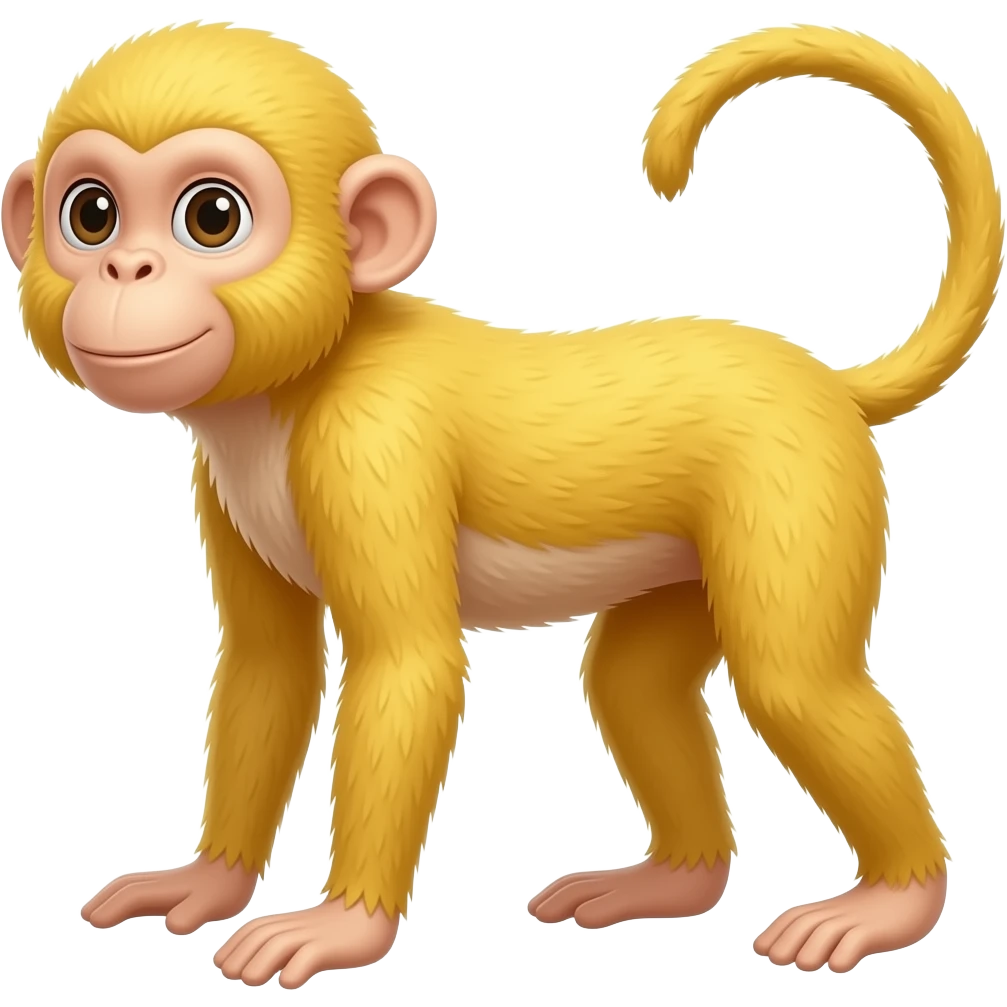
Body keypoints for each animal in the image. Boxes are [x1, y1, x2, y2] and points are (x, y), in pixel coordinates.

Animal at [3, 19, 1001, 987]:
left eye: (211, 217)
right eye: (90, 214)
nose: (126, 269)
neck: (299, 381)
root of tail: (823, 380)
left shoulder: (373, 444)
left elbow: (409, 665)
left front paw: (339, 926)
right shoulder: (218, 478)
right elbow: (266, 666)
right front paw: (208, 879)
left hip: (795, 484)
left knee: (793, 680)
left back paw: (893, 900)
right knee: (631, 683)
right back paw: (669, 879)